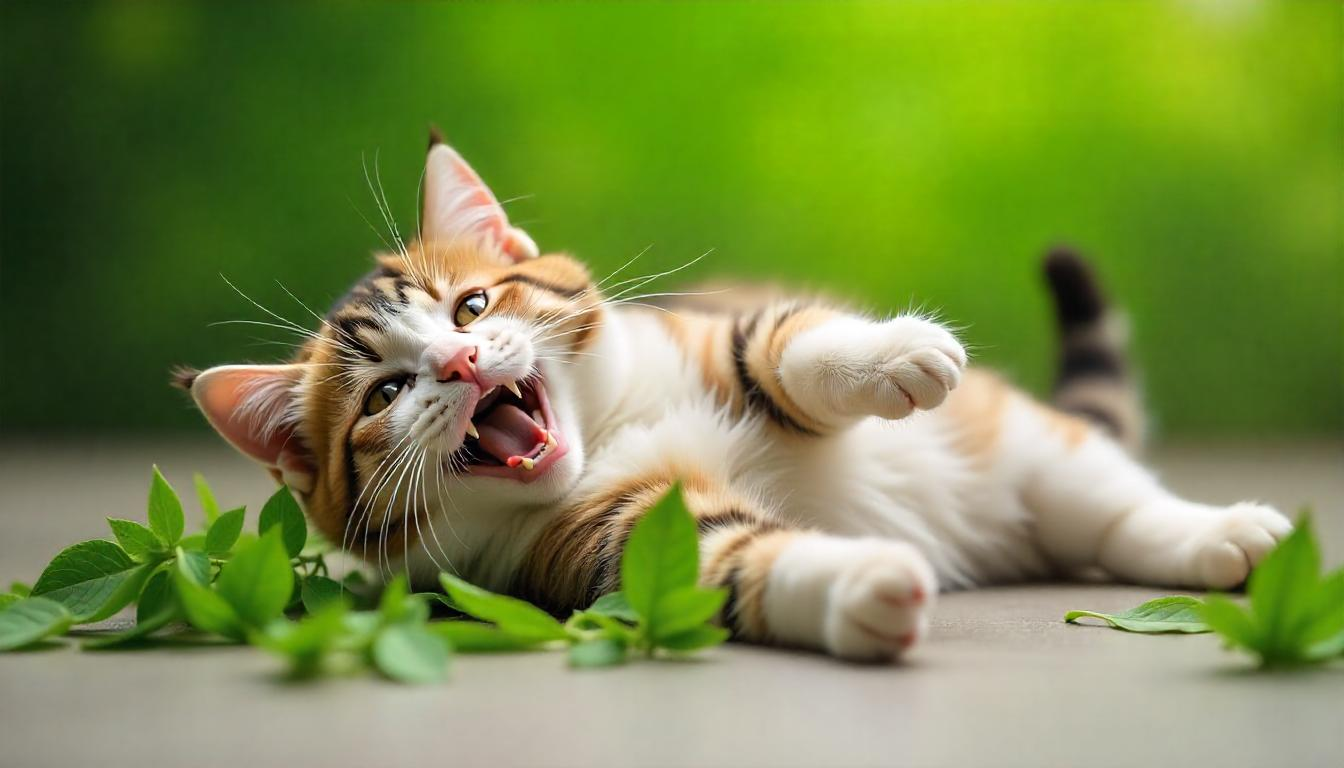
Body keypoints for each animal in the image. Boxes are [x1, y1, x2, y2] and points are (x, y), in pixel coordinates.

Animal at [176, 132, 1290, 661]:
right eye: (384, 396)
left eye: (473, 304)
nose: (454, 368)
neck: (610, 429)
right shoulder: (614, 544)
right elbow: (735, 561)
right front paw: (862, 586)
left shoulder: (708, 332)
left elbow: (784, 345)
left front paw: (897, 355)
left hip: (1028, 445)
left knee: (1118, 507)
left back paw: (1224, 532)